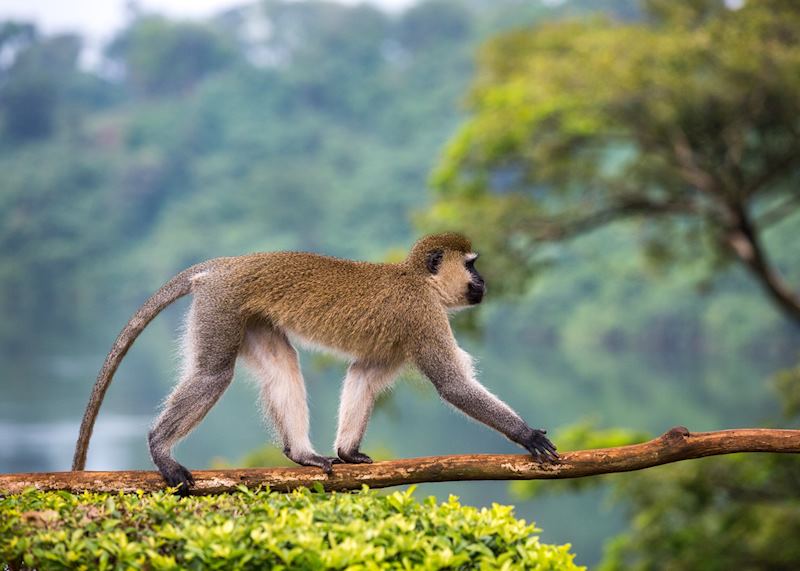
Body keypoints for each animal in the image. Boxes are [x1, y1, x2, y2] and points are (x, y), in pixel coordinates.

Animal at [72, 233, 558, 492]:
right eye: (472, 266)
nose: (484, 280)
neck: (419, 281)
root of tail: (227, 265)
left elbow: (363, 374)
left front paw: (347, 452)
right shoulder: (422, 315)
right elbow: (452, 385)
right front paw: (526, 434)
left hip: (248, 315)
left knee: (281, 364)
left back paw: (301, 454)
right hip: (221, 304)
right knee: (213, 375)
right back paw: (159, 445)